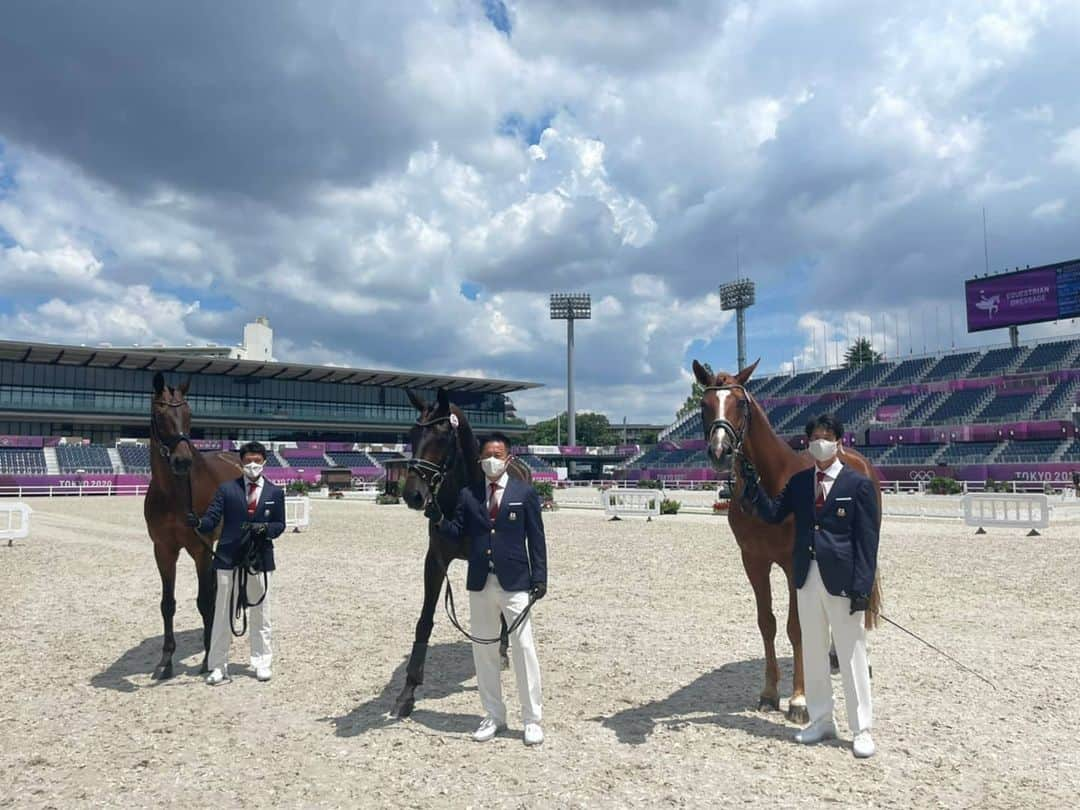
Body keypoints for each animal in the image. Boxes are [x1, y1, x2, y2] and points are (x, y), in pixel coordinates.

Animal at [143, 373, 240, 678]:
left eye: (189, 414)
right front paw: (165, 661)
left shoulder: (200, 549)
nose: (182, 460)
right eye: (159, 414)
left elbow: (204, 600)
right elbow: (167, 604)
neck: (174, 494)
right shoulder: (163, 550)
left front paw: (209, 658)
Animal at [388, 390, 531, 721]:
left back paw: (502, 650)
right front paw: (407, 694)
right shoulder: (435, 560)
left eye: (442, 436)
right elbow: (424, 621)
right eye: (412, 434)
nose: (413, 495)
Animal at [691, 358, 876, 725]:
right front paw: (769, 693)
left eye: (741, 403)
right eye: (704, 405)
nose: (720, 451)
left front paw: (799, 700)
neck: (774, 482)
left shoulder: (795, 566)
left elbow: (796, 627)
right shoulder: (754, 562)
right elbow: (768, 624)